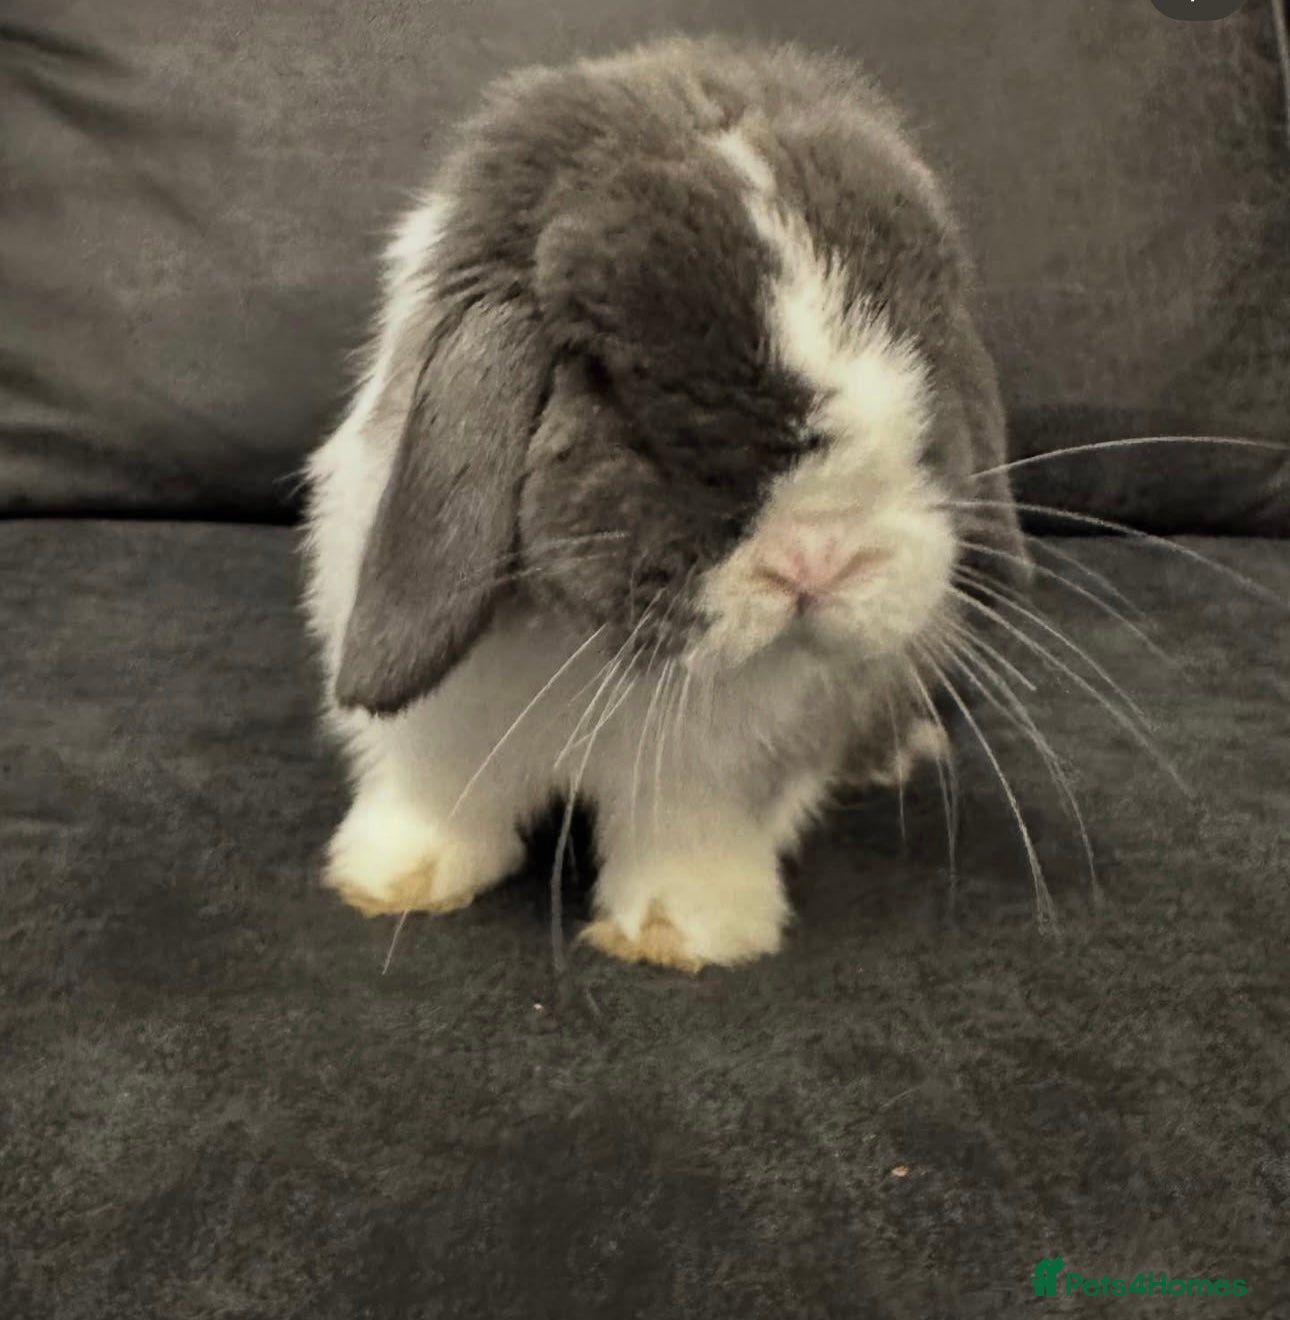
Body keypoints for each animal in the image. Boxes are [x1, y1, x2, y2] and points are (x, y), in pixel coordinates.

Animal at [302, 35, 1029, 971]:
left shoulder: (723, 770)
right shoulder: (439, 727)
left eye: (927, 361)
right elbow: (437, 792)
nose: (818, 560)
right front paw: (395, 881)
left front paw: (679, 935)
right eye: (603, 380)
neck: (588, 648)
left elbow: (689, 833)